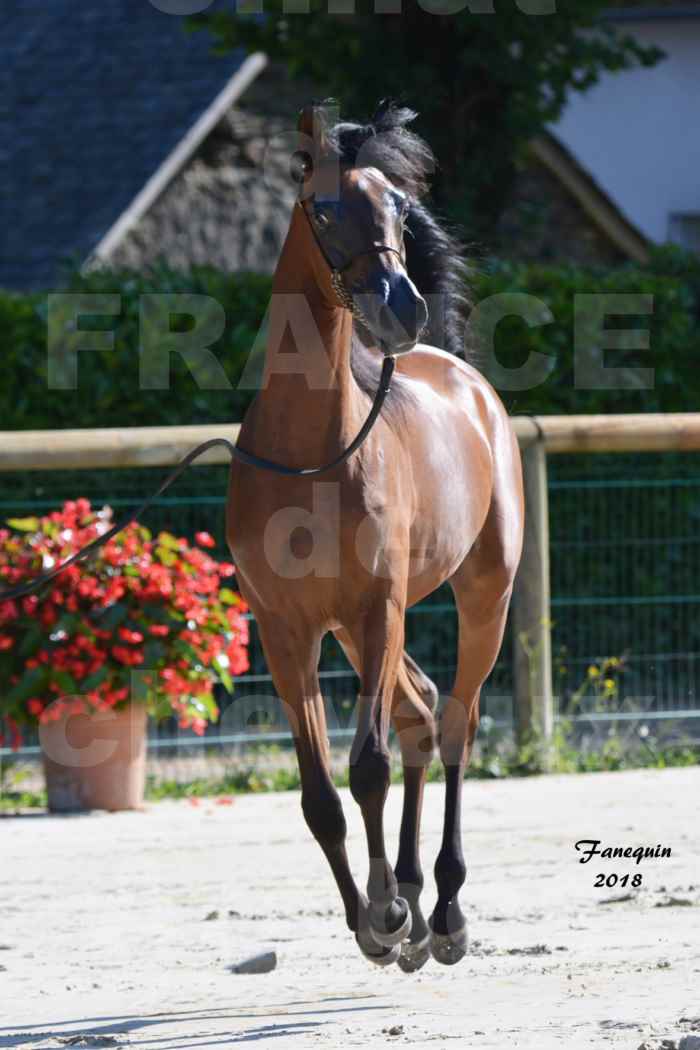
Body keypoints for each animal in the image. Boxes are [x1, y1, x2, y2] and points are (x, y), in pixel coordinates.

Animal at [227, 102, 522, 970]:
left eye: (396, 204)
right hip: (361, 637)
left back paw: (445, 910)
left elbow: (367, 769)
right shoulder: (287, 630)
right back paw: (419, 909)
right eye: (323, 209)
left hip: (482, 597)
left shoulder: (377, 608)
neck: (308, 452)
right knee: (422, 713)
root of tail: (459, 376)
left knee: (453, 721)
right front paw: (377, 920)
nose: (401, 305)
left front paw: (388, 914)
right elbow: (321, 796)